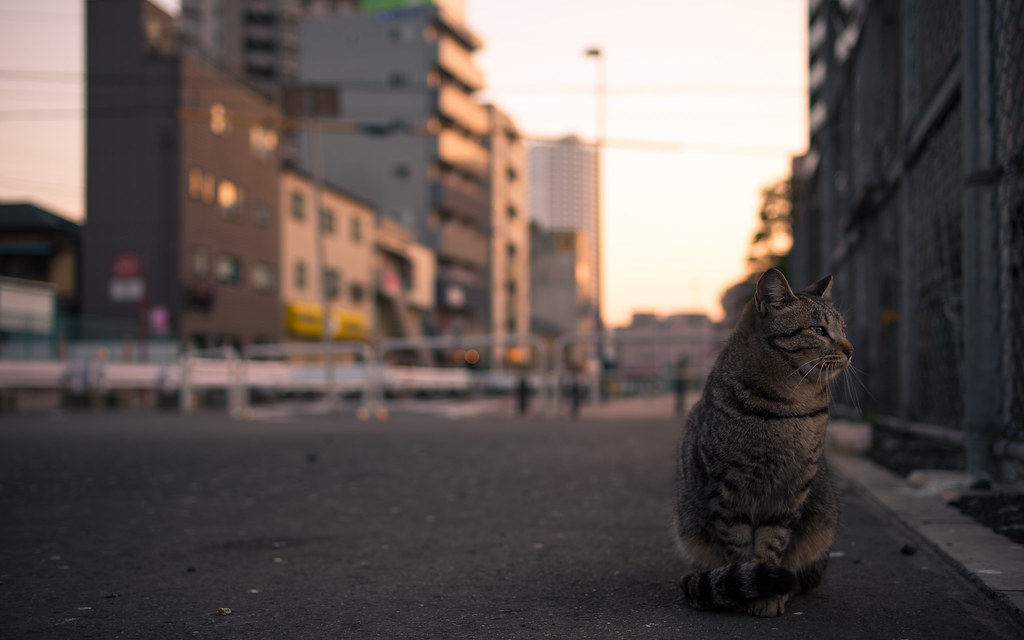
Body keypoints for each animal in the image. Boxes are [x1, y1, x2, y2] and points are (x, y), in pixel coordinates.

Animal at [675, 266, 851, 618]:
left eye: (843, 329)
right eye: (818, 330)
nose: (851, 349)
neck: (785, 407)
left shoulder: (792, 490)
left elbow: (772, 542)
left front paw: (767, 594)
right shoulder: (727, 489)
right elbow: (740, 547)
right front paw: (747, 588)